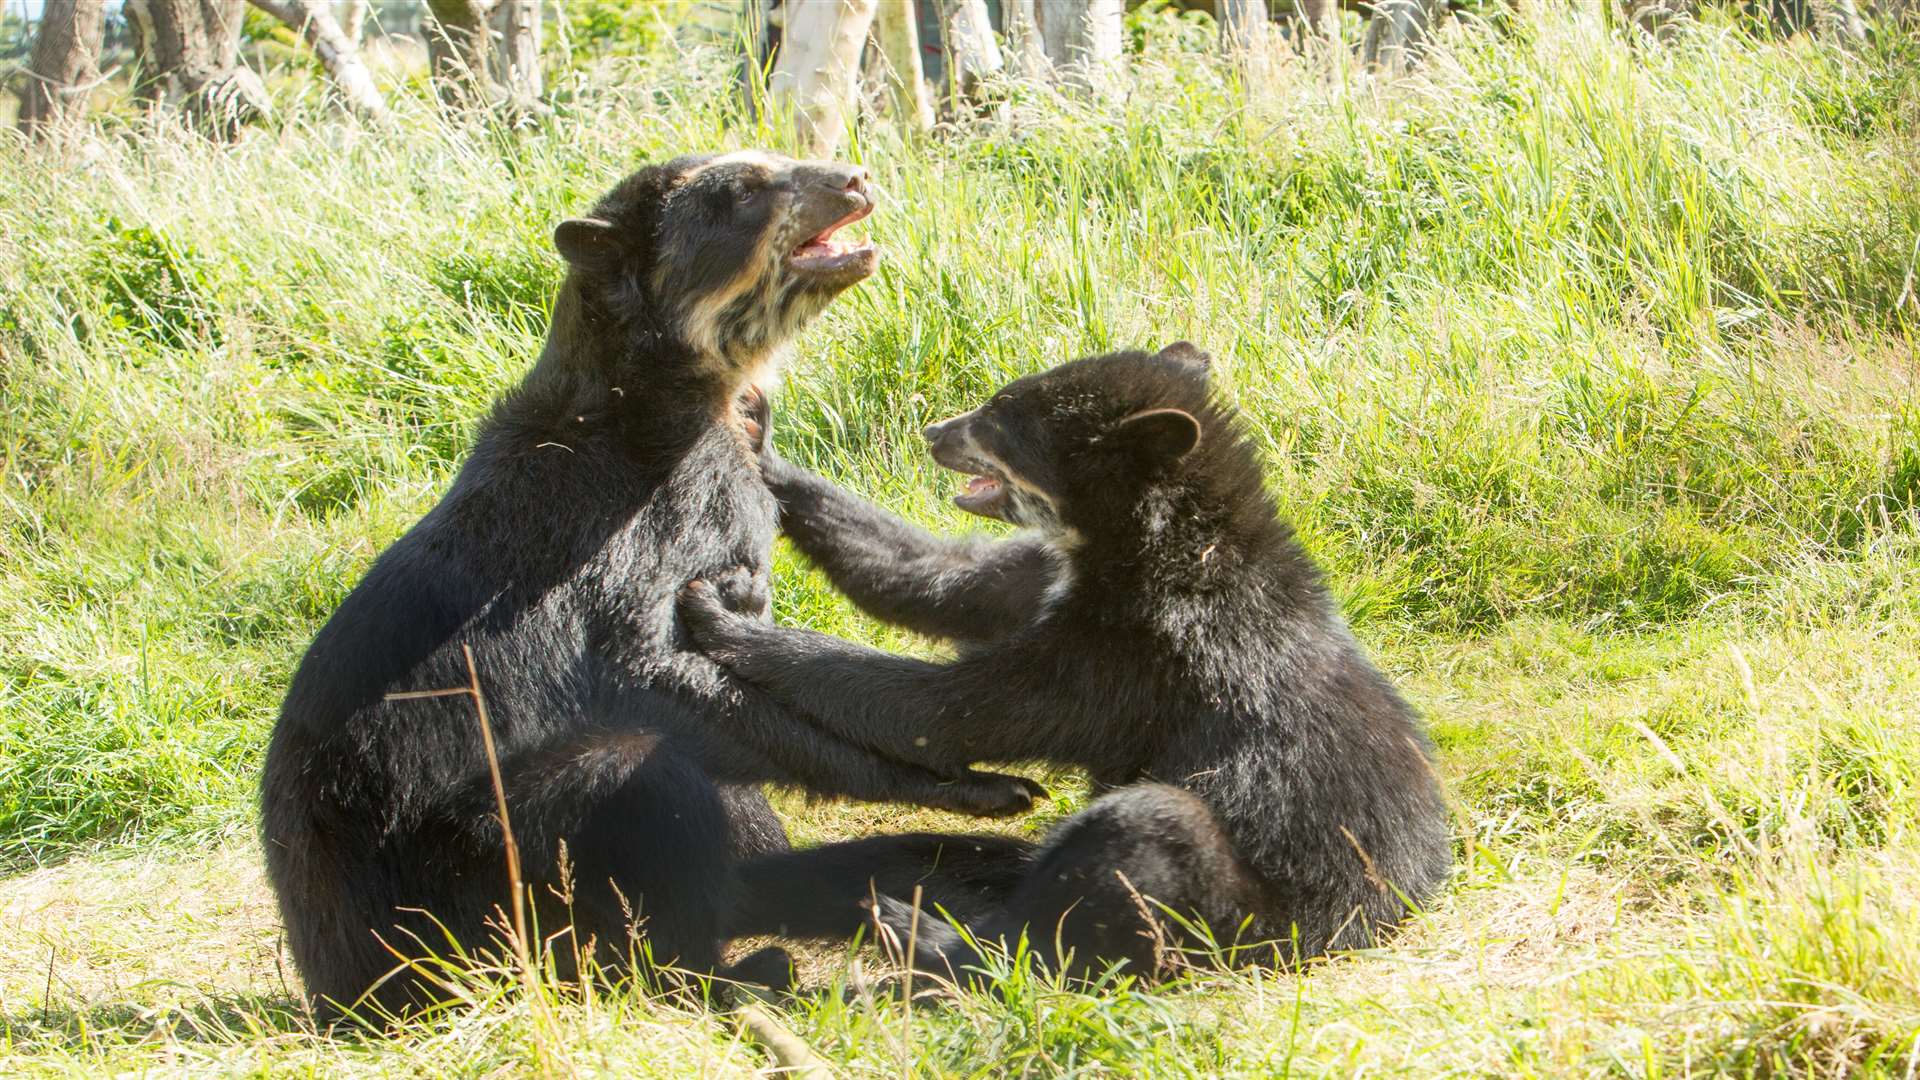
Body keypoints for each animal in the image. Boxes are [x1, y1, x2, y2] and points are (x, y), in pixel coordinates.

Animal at [261, 151, 1044, 1014]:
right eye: (743, 191)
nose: (853, 177)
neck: (675, 397)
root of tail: (337, 986)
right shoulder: (637, 534)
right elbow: (666, 671)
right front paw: (969, 783)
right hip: (467, 883)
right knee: (642, 786)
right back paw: (731, 969)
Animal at [683, 345, 1443, 983]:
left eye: (997, 419)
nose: (934, 431)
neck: (1138, 552)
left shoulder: (1126, 659)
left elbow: (939, 706)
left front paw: (723, 621)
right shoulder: (1050, 577)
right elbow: (937, 577)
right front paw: (759, 444)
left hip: (1243, 918)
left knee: (1122, 858)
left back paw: (920, 935)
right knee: (902, 858)